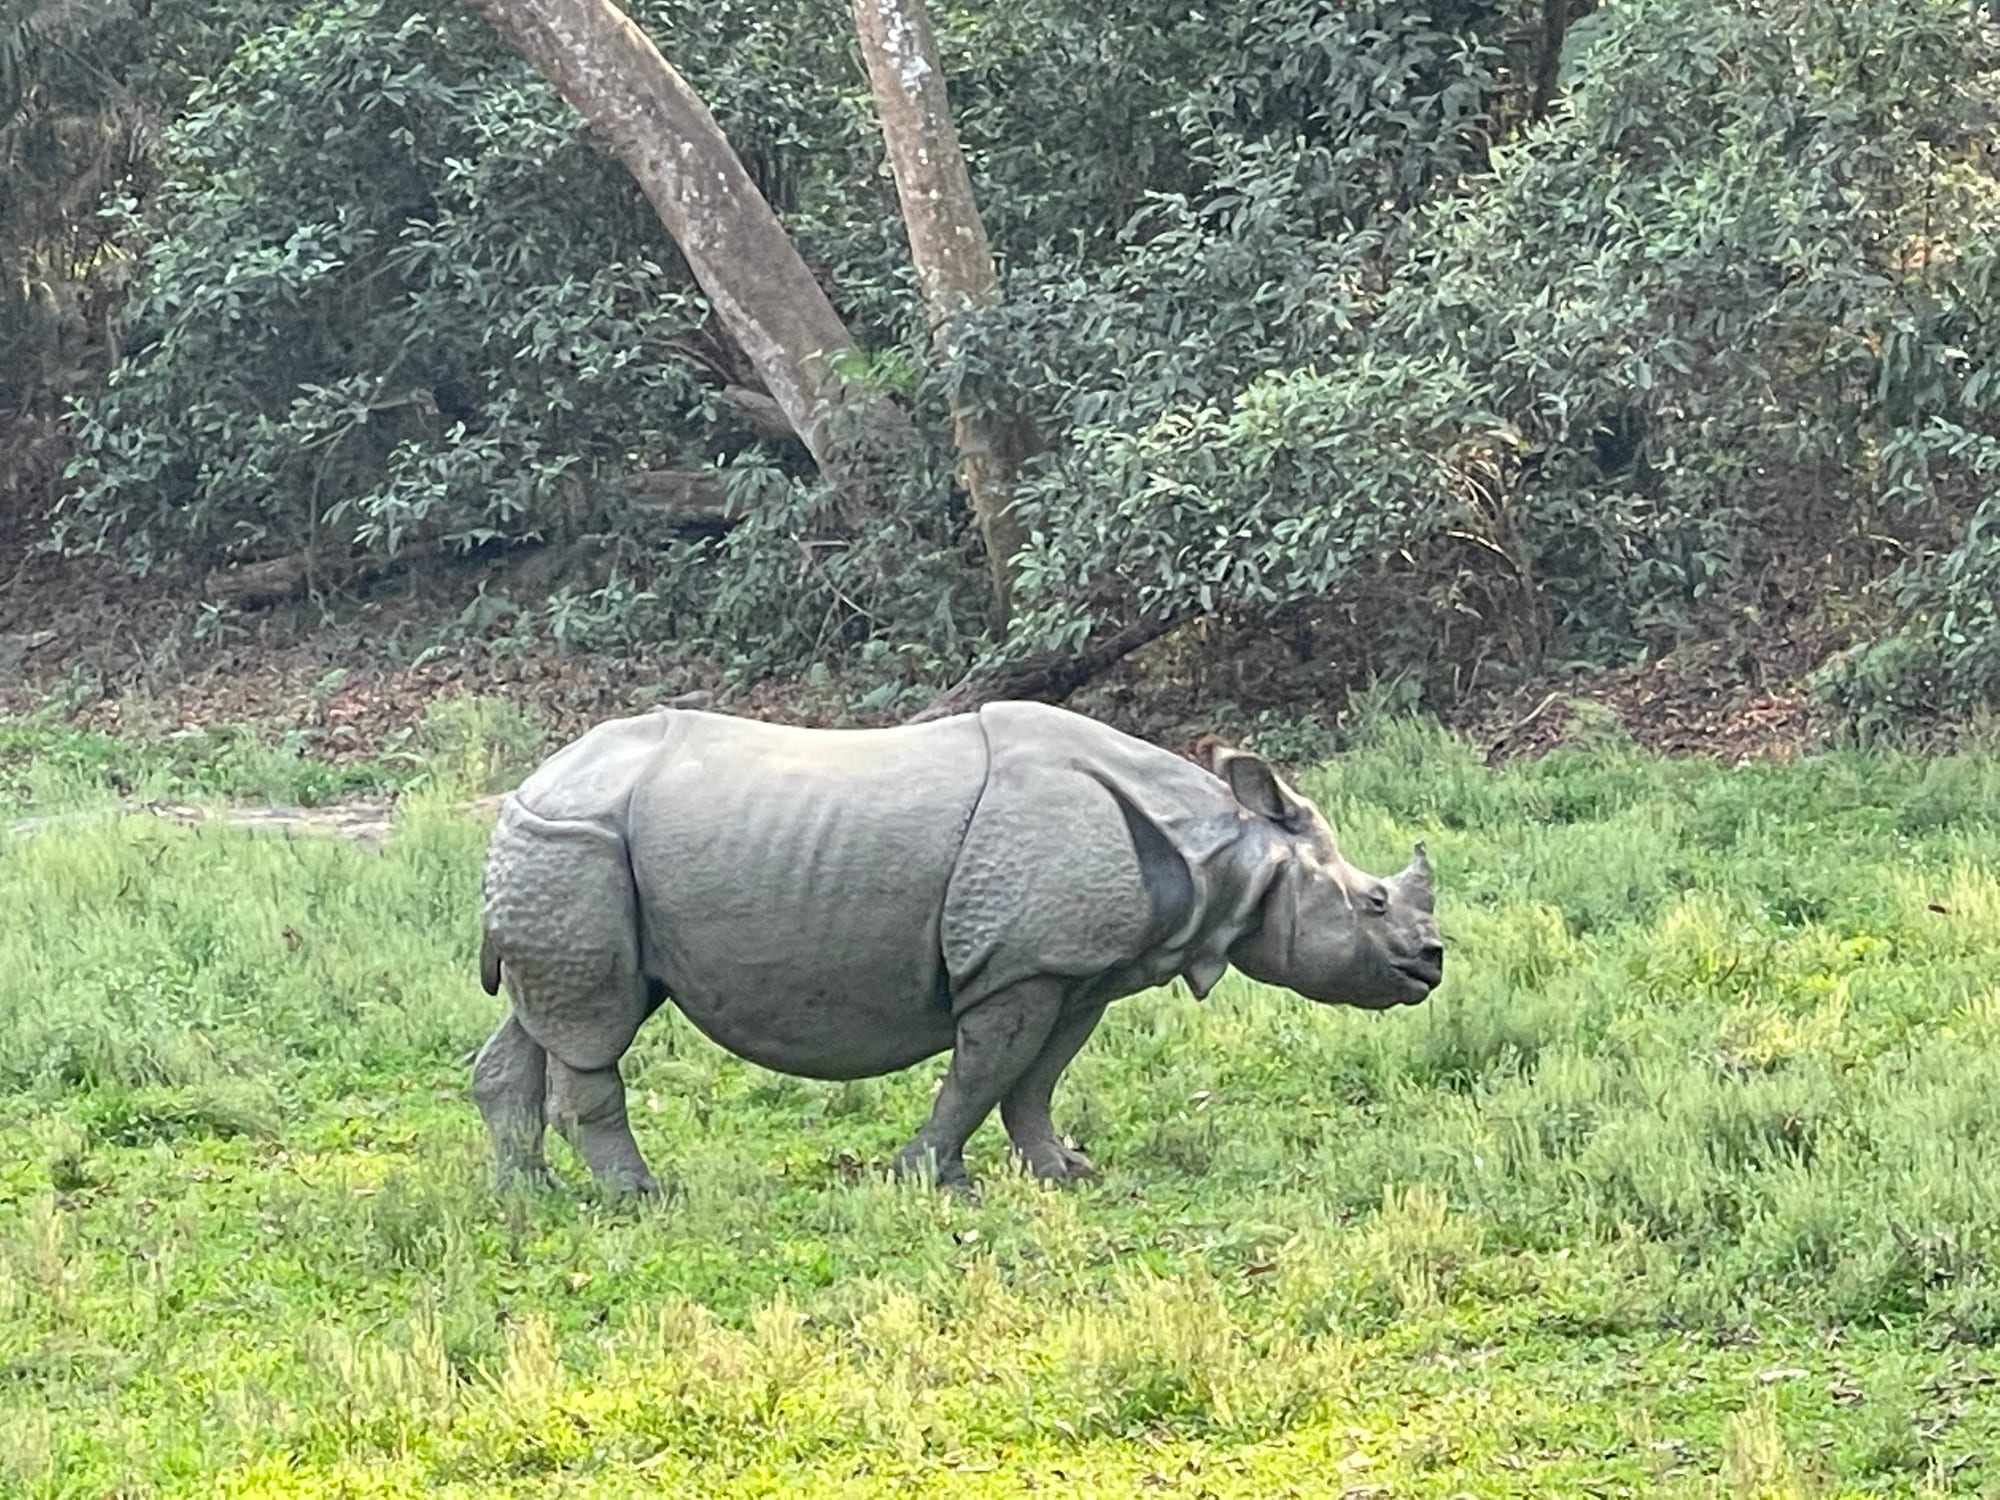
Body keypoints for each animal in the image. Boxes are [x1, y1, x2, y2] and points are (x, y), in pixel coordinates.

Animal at [472, 700, 1443, 1195]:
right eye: (1374, 902)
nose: (1430, 965)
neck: (1227, 849)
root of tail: (530, 782)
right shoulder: (1017, 966)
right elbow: (982, 1073)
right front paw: (932, 1179)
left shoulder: (1076, 968)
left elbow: (1035, 1081)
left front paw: (1064, 1172)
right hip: (578, 845)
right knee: (594, 1027)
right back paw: (639, 1197)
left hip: (567, 850)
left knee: (552, 1016)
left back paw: (528, 1195)